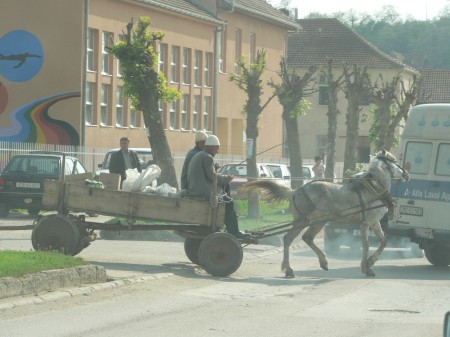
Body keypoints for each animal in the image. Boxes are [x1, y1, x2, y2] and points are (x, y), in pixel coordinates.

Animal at [243, 150, 412, 276]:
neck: (373, 189)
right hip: (315, 221)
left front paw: (369, 264)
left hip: (304, 221)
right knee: (304, 237)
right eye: (395, 161)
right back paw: (319, 262)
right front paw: (368, 266)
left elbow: (379, 242)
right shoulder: (368, 222)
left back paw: (290, 269)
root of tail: (296, 191)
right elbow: (370, 244)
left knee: (290, 238)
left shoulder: (371, 223)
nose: (407, 175)